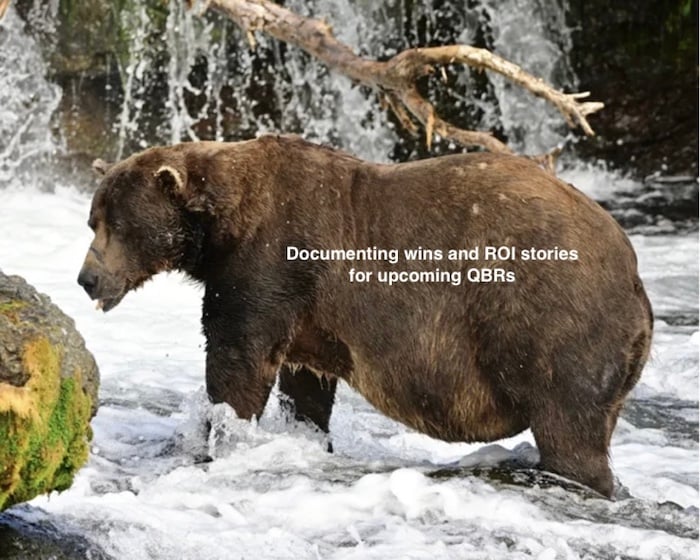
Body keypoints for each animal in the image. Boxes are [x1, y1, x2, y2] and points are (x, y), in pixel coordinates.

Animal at [77, 134, 653, 498]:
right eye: (93, 219)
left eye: (118, 224)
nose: (86, 278)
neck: (224, 225)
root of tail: (634, 276)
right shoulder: (309, 313)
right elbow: (305, 384)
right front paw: (305, 435)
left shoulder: (271, 262)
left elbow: (237, 362)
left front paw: (215, 438)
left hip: (553, 321)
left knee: (570, 428)